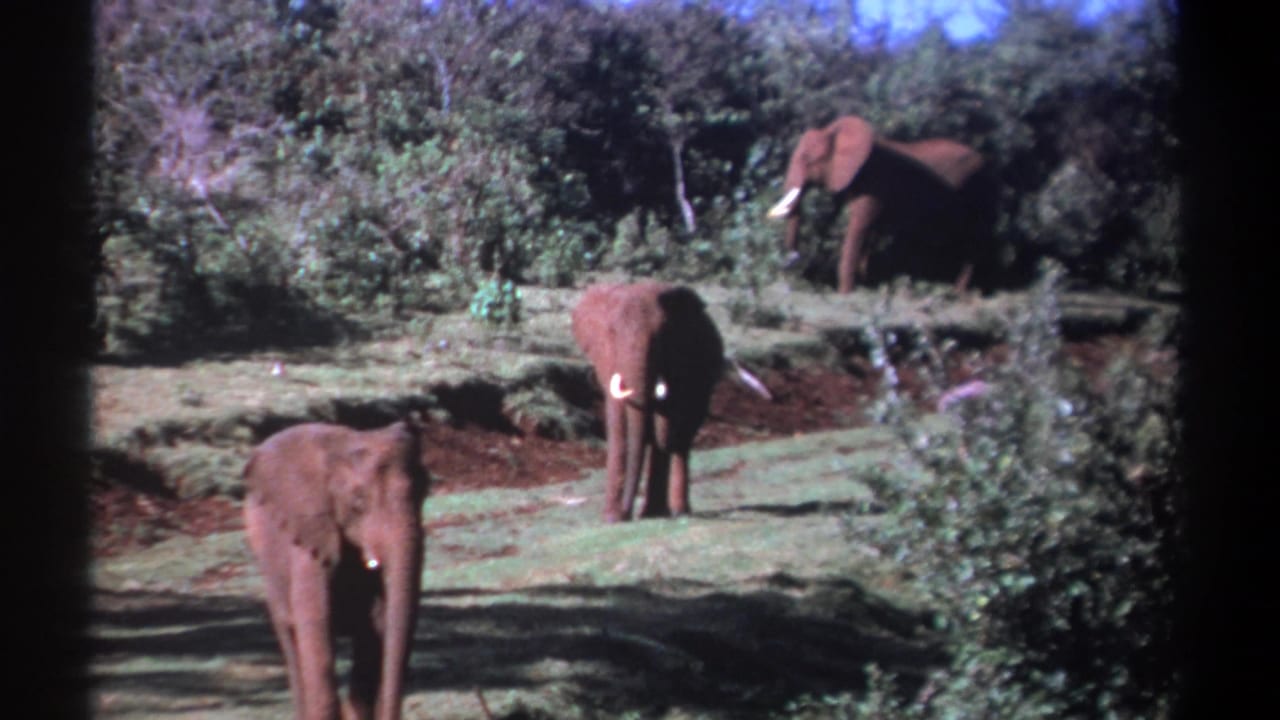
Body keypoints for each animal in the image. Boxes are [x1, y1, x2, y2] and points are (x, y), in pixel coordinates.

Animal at [243, 419, 430, 720]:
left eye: (425, 493)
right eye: (358, 503)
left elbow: (376, 626)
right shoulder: (308, 537)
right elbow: (315, 621)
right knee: (290, 637)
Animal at [572, 281, 725, 522]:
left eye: (660, 337)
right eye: (612, 333)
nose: (625, 514)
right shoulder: (606, 358)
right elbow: (618, 419)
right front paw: (611, 519)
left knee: (683, 437)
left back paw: (675, 510)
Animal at [767, 115, 997, 293]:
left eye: (807, 158)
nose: (793, 272)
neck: (836, 132)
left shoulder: (875, 181)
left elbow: (860, 226)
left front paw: (846, 294)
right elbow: (868, 231)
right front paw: (864, 284)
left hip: (982, 190)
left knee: (975, 241)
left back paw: (958, 293)